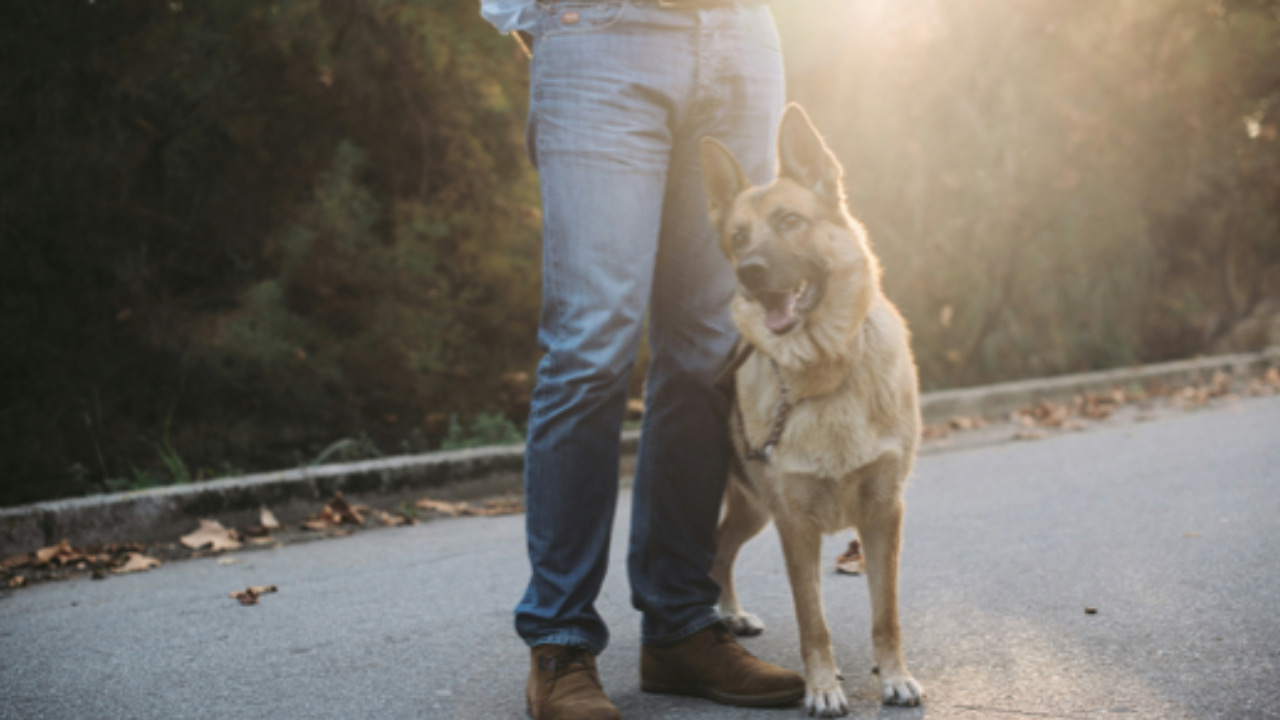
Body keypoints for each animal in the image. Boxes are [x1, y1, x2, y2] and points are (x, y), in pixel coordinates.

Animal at [701, 103, 921, 712]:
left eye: (790, 221)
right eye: (737, 236)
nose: (749, 271)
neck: (826, 371)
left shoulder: (883, 514)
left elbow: (886, 613)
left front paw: (893, 676)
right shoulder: (794, 525)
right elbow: (812, 620)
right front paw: (821, 687)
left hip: (753, 510)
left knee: (720, 553)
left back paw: (729, 613)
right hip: (750, 506)